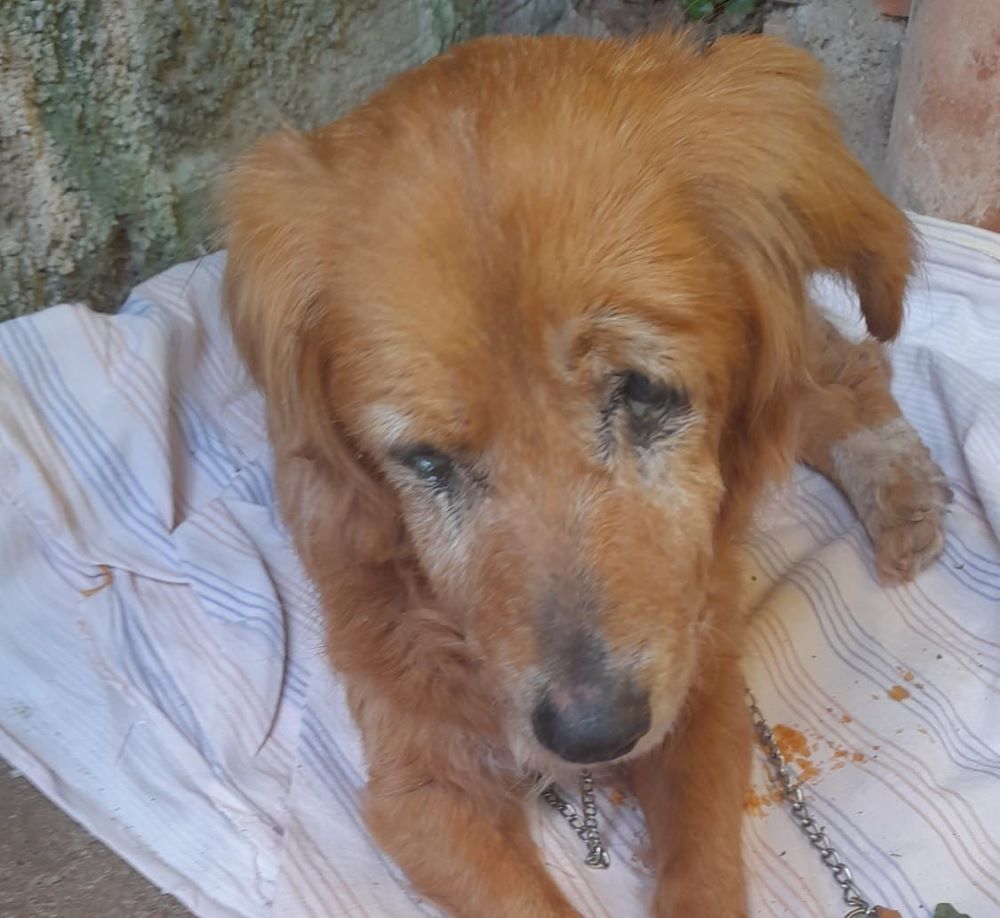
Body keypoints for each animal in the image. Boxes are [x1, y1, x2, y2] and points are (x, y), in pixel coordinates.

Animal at [221, 31, 951, 917]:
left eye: (642, 392)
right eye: (424, 459)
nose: (594, 737)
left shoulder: (699, 686)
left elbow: (705, 872)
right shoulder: (424, 787)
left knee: (843, 367)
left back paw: (901, 489)